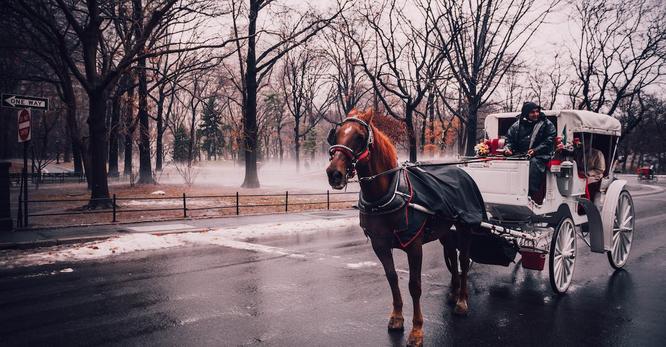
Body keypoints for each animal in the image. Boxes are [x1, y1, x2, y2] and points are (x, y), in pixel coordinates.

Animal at [326, 110, 472, 347]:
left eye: (359, 136)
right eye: (336, 134)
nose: (334, 173)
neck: (388, 193)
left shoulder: (414, 245)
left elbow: (415, 285)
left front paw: (417, 330)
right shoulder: (380, 244)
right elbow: (392, 277)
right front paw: (396, 317)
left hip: (465, 226)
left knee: (464, 261)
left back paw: (462, 301)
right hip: (445, 230)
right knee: (451, 252)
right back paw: (454, 291)